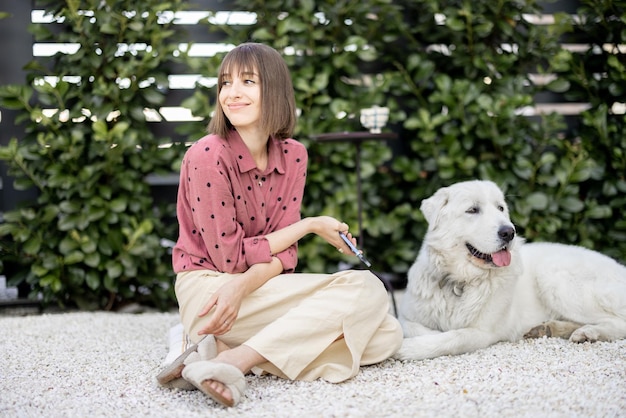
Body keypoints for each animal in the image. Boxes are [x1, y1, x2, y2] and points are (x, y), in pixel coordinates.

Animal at [394, 178, 624, 360]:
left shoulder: (482, 331)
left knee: (618, 322)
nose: (509, 232)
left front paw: (407, 348)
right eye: (472, 210)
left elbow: (453, 337)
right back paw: (551, 328)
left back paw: (589, 333)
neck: (461, 281)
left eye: (500, 208)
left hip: (555, 280)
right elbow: (412, 327)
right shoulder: (407, 316)